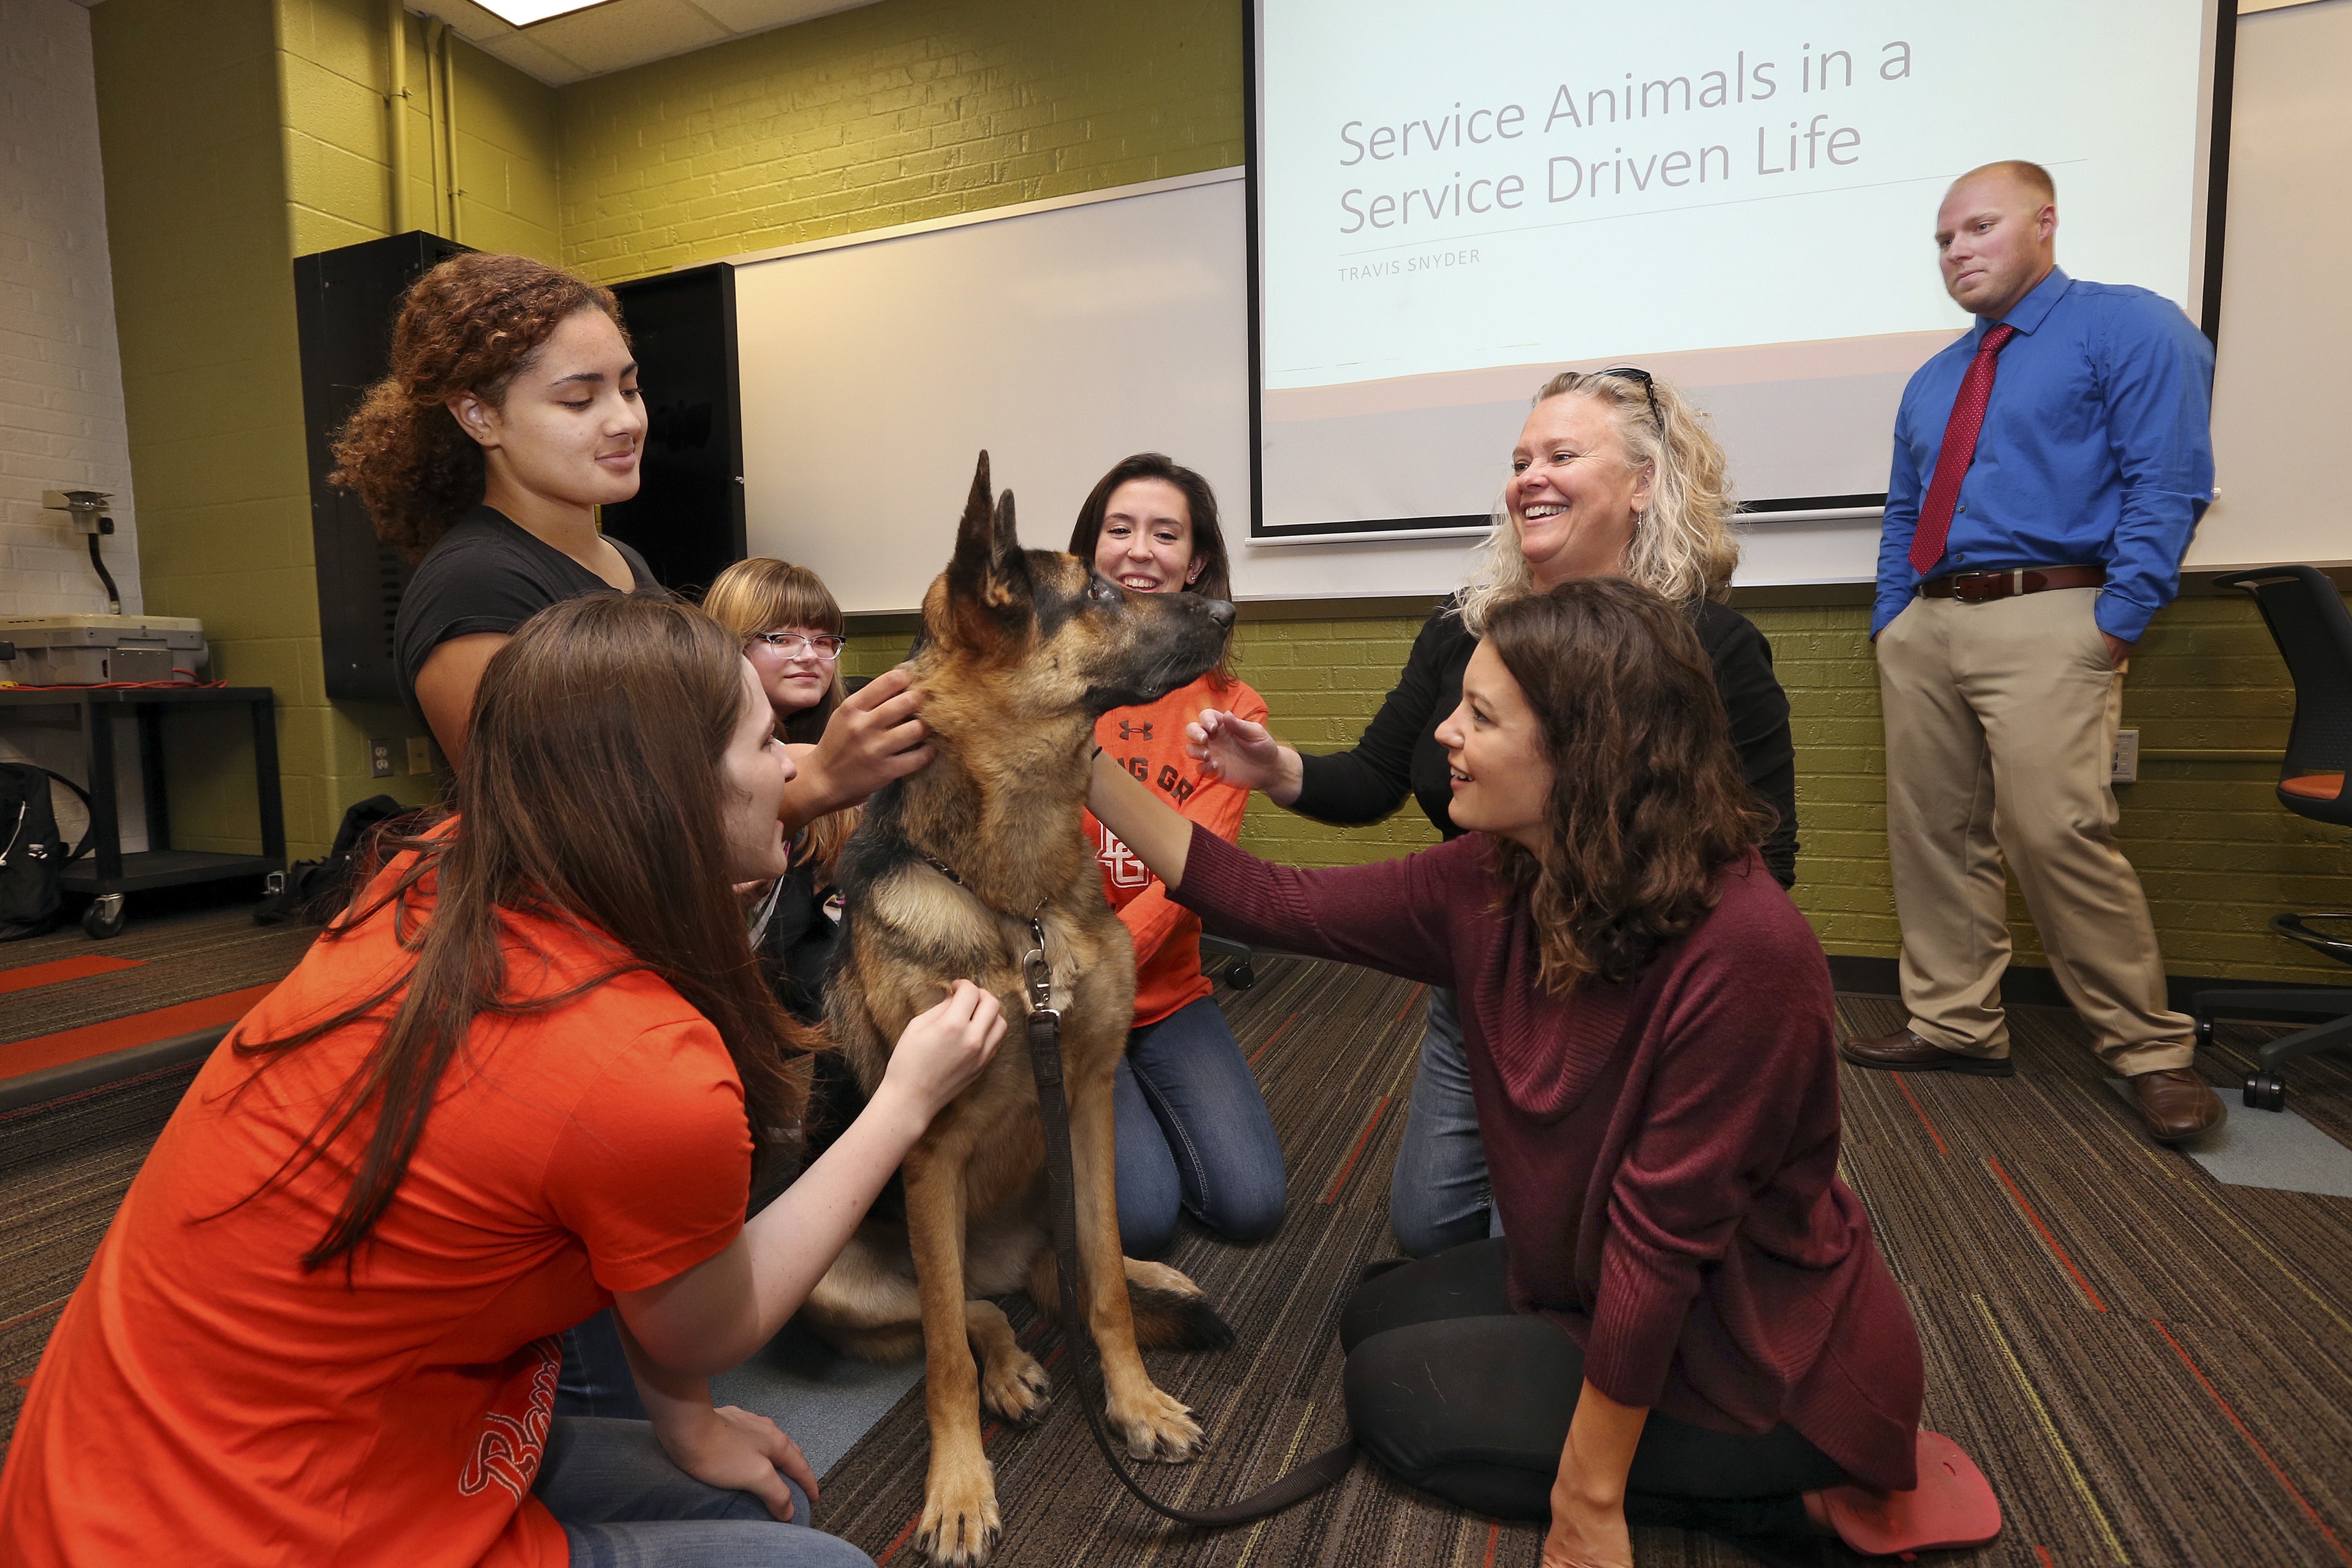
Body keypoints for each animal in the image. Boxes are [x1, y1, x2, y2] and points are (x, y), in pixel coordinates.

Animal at [804, 453, 1251, 1568]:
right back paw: (1008, 1368)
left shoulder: (1085, 1098)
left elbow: (1106, 1299)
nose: (1231, 605)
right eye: (1098, 592)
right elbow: (945, 1359)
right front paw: (958, 1487)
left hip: (1062, 1186)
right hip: (855, 1274)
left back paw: (1146, 1280)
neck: (1021, 904)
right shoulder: (927, 1153)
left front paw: (1132, 1402)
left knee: (1064, 1273)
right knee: (967, 1316)